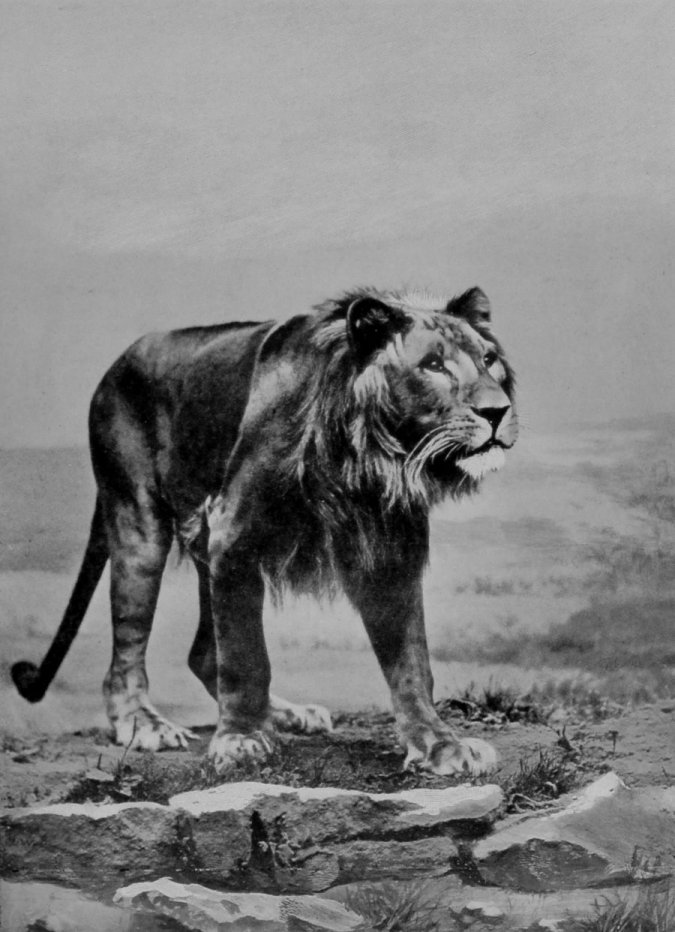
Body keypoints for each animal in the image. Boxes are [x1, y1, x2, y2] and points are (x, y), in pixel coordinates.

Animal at [12, 286, 517, 775]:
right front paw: (240, 741)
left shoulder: (390, 551)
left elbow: (412, 662)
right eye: (432, 365)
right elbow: (245, 656)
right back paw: (145, 724)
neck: (364, 456)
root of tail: (115, 366)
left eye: (489, 359)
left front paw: (440, 745)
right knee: (128, 652)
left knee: (202, 652)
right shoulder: (234, 533)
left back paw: (291, 714)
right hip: (139, 526)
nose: (497, 411)